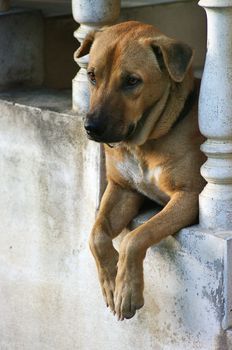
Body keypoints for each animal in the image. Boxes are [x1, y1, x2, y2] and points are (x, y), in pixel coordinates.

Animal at [76, 21, 205, 320]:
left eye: (132, 81)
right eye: (92, 76)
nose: (91, 128)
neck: (143, 144)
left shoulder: (189, 196)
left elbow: (137, 237)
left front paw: (126, 289)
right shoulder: (122, 189)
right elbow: (96, 234)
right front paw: (111, 280)